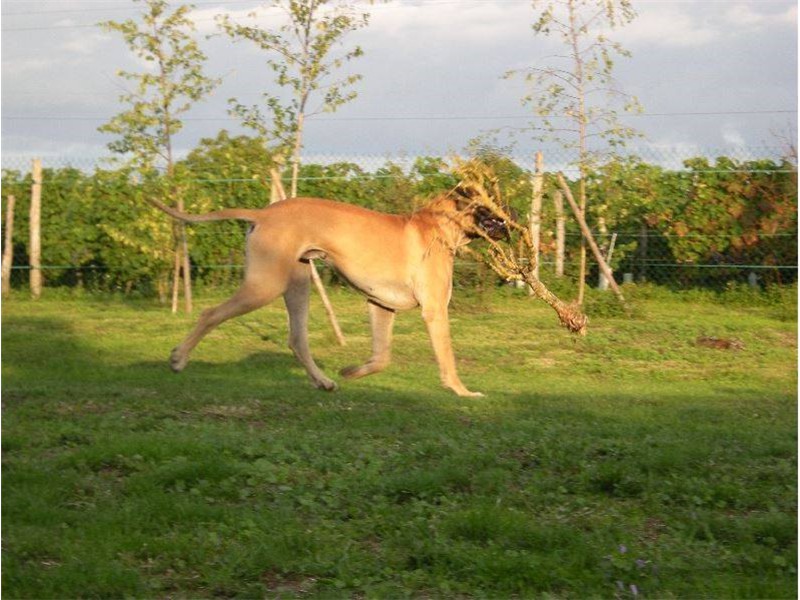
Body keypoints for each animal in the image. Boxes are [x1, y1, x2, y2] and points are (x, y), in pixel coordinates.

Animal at [155, 193, 506, 398]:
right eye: (487, 205)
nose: (508, 220)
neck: (439, 226)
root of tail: (263, 214)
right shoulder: (434, 310)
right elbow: (447, 357)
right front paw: (461, 391)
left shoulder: (380, 306)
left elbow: (381, 358)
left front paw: (352, 372)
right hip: (265, 285)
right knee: (209, 314)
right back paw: (178, 358)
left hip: (297, 284)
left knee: (297, 339)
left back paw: (323, 381)